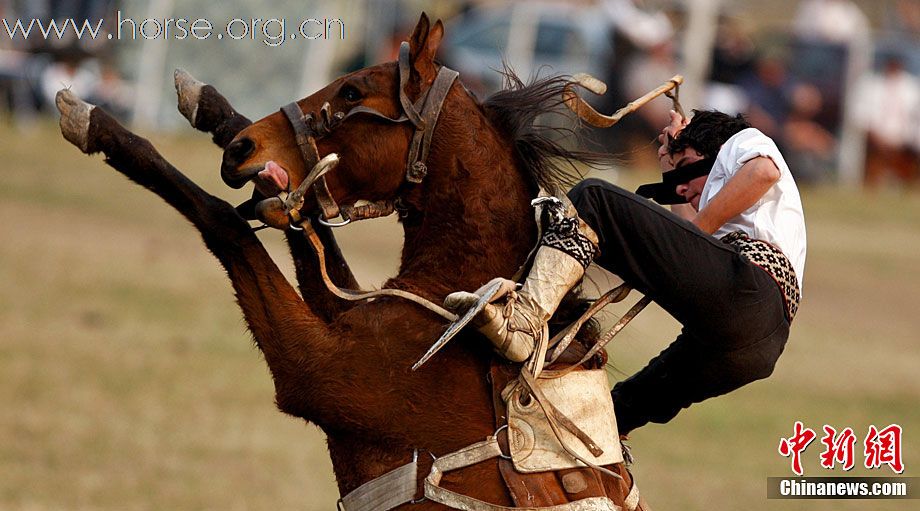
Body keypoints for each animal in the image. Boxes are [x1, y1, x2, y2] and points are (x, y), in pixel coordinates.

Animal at [57, 12, 640, 511]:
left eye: (353, 92)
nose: (241, 150)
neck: (460, 296)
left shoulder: (314, 369)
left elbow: (225, 222)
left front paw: (99, 125)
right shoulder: (344, 313)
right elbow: (309, 236)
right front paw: (211, 108)